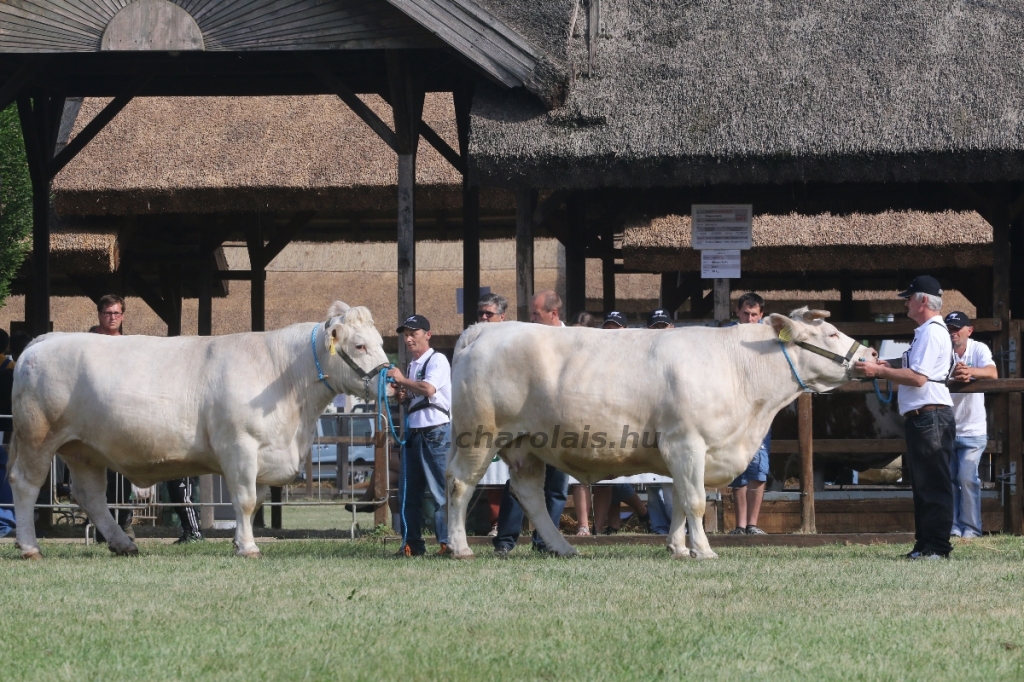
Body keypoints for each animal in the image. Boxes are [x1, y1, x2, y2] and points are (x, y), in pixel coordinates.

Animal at [7, 303, 387, 557]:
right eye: (360, 345)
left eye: (381, 342)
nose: (392, 378)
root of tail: (44, 340)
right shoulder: (239, 446)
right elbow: (245, 500)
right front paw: (248, 548)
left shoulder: (266, 454)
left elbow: (256, 500)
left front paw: (239, 540)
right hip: (39, 437)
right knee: (25, 485)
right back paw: (30, 548)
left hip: (83, 448)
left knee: (91, 495)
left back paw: (123, 543)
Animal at [444, 307, 876, 557]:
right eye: (831, 333)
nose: (871, 354)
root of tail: (482, 330)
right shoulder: (686, 443)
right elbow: (696, 501)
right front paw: (703, 551)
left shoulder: (691, 453)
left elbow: (682, 500)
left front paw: (678, 548)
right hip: (479, 436)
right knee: (460, 484)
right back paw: (460, 547)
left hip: (525, 447)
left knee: (528, 494)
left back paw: (563, 547)